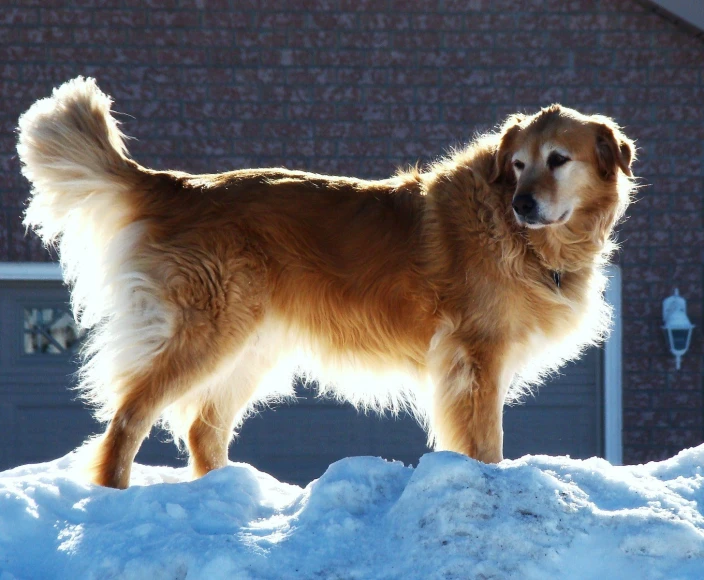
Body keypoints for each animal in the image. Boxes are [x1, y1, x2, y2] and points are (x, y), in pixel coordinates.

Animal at [16, 75, 636, 488]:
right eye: (518, 165)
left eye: (558, 159)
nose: (523, 203)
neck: (517, 237)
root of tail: (181, 185)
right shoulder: (476, 354)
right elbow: (485, 439)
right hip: (210, 332)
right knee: (128, 415)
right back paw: (115, 495)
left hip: (252, 345)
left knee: (201, 430)